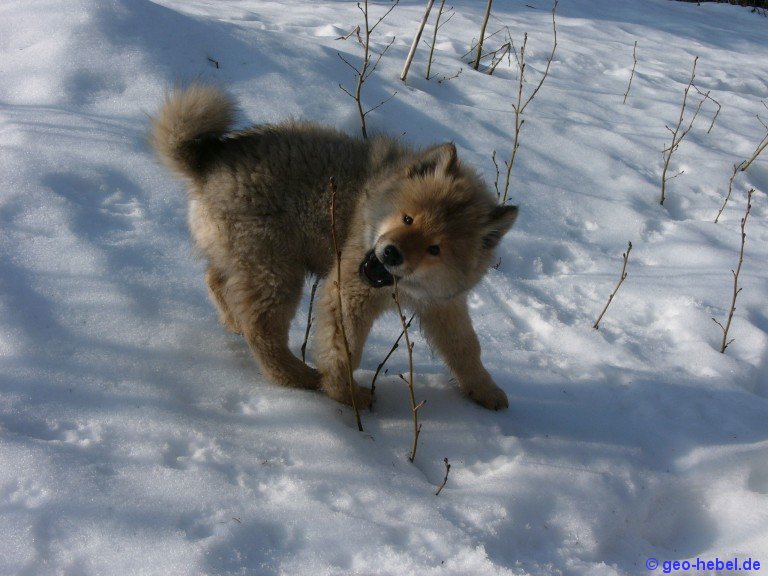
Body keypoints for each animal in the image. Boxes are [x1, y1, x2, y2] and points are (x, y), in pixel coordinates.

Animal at [151, 84, 517, 410]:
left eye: (435, 249)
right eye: (408, 218)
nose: (391, 253)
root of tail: (209, 160)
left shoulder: (444, 305)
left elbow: (465, 348)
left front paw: (484, 389)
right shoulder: (348, 291)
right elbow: (343, 349)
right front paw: (346, 394)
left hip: (247, 258)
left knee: (216, 281)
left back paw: (234, 323)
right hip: (276, 269)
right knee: (262, 329)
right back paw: (295, 375)